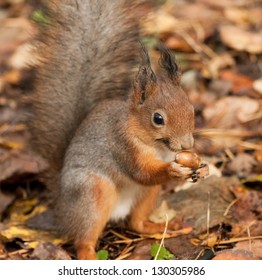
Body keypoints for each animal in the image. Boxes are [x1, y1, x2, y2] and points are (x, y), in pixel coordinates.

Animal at [28, 0, 199, 260]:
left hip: (146, 195)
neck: (155, 145)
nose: (187, 145)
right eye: (158, 118)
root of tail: (62, 205)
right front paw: (172, 169)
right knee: (84, 238)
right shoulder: (122, 147)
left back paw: (159, 227)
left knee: (136, 223)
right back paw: (89, 255)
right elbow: (142, 173)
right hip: (94, 193)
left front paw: (200, 165)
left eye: (192, 109)